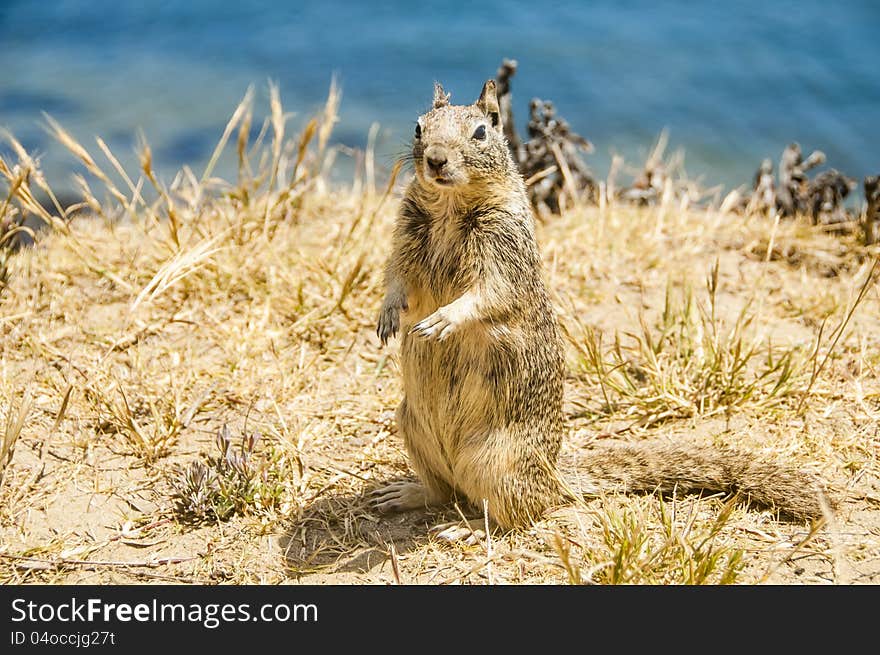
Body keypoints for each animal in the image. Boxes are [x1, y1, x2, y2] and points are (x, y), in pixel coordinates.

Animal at [372, 79, 832, 540]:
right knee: (443, 490)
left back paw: (471, 528)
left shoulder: (506, 254)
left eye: (481, 132)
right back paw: (404, 493)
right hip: (411, 427)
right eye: (419, 127)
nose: (435, 159)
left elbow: (489, 295)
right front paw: (387, 315)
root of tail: (556, 475)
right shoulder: (405, 235)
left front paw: (442, 320)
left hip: (498, 462)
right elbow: (395, 276)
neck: (449, 206)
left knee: (518, 513)